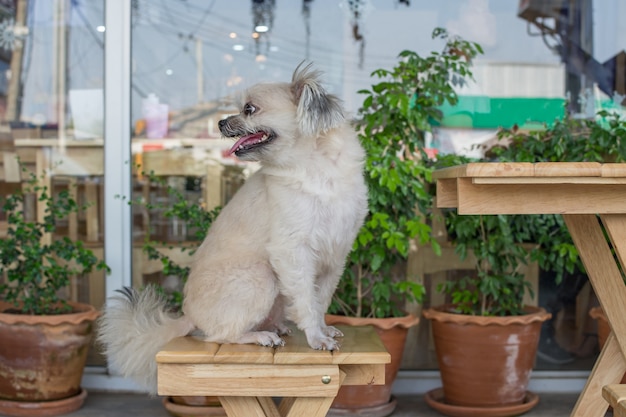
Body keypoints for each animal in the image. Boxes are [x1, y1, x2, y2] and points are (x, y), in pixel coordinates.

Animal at [98, 62, 368, 390]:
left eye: (250, 109)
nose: (221, 122)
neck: (315, 169)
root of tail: (189, 315)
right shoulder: (293, 251)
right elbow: (307, 301)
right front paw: (316, 336)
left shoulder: (335, 255)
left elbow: (321, 299)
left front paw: (323, 328)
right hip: (261, 276)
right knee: (221, 335)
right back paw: (261, 335)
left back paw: (276, 326)